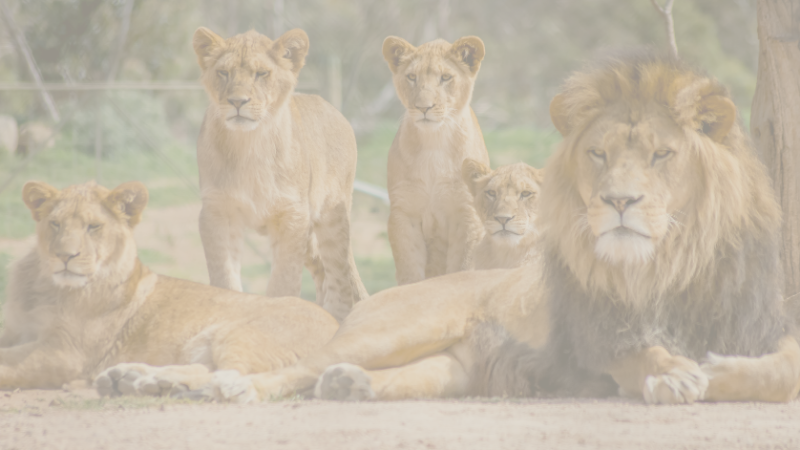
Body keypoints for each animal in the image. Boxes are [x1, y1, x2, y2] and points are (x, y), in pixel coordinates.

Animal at [0, 181, 338, 394]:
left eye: (93, 227)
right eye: (55, 224)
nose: (64, 256)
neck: (46, 287)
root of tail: (336, 325)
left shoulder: (65, 352)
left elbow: (8, 364)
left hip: (240, 334)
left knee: (230, 374)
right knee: (206, 369)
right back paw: (134, 379)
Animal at [193, 27, 367, 321]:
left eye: (261, 73)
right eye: (223, 73)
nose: (237, 101)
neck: (248, 145)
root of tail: (334, 110)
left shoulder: (292, 215)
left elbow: (283, 282)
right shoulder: (217, 211)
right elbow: (224, 276)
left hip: (332, 216)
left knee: (339, 274)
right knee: (323, 271)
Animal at [383, 35, 491, 285]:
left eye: (445, 77)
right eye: (412, 77)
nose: (424, 107)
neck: (434, 141)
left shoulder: (467, 214)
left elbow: (461, 268)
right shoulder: (404, 213)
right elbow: (410, 270)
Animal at [476, 53, 800, 404]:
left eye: (661, 154)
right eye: (598, 153)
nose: (619, 200)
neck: (661, 268)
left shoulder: (760, 324)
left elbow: (787, 369)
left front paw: (714, 369)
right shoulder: (593, 342)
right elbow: (642, 354)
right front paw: (675, 374)